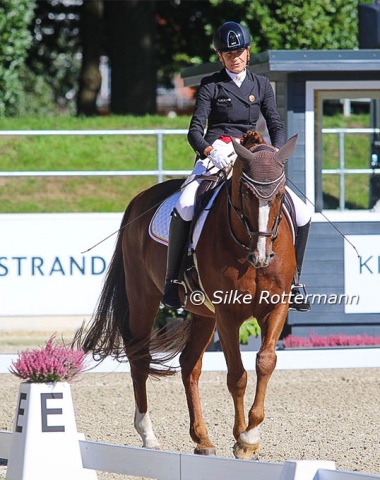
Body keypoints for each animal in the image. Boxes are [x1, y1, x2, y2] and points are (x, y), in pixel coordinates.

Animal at [81, 129, 298, 460]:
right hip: (143, 298)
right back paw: (149, 435)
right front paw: (242, 439)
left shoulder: (276, 307)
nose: (262, 257)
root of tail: (139, 199)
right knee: (140, 357)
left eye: (280, 193)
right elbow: (237, 375)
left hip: (203, 314)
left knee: (189, 365)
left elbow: (265, 362)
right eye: (246, 192)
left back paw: (202, 438)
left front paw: (250, 434)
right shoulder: (227, 313)